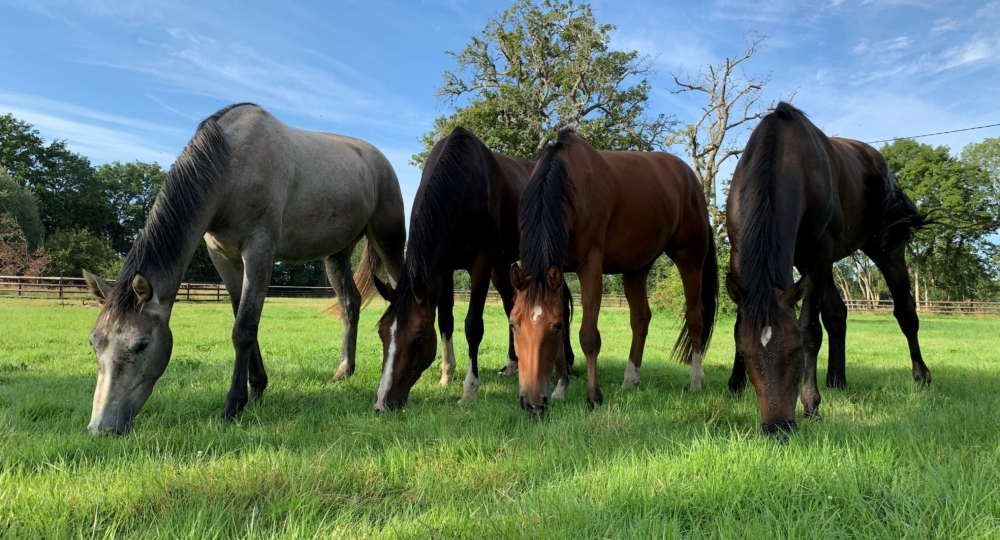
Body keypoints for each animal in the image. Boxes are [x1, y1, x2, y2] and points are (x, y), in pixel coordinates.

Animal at [80, 104, 404, 434]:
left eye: (141, 345)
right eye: (94, 342)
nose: (100, 427)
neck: (230, 168)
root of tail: (378, 159)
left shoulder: (259, 251)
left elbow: (244, 328)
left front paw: (233, 405)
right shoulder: (224, 257)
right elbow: (242, 318)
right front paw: (257, 387)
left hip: (387, 240)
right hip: (336, 254)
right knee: (350, 304)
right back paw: (343, 371)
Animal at [372, 126, 576, 412]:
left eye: (418, 339)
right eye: (382, 334)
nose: (383, 402)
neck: (462, 181)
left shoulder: (480, 264)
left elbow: (472, 326)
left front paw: (469, 389)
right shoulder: (445, 269)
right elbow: (446, 320)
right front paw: (446, 376)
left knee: (562, 301)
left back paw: (567, 361)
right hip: (504, 267)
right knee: (510, 303)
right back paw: (511, 364)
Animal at [512, 129, 716, 416]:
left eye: (554, 327)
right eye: (513, 323)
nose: (532, 403)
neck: (568, 184)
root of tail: (689, 178)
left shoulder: (590, 267)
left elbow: (588, 336)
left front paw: (593, 397)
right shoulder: (558, 271)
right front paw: (561, 389)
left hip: (690, 259)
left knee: (695, 318)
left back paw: (696, 380)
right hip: (637, 268)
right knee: (641, 319)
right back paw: (630, 379)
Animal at [728, 101, 928, 436]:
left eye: (795, 350)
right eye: (746, 353)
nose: (778, 428)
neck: (784, 156)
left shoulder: (819, 252)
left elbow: (810, 330)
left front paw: (811, 404)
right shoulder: (740, 253)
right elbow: (738, 323)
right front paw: (734, 384)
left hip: (885, 250)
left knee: (905, 313)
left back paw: (922, 376)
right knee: (837, 314)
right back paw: (837, 379)